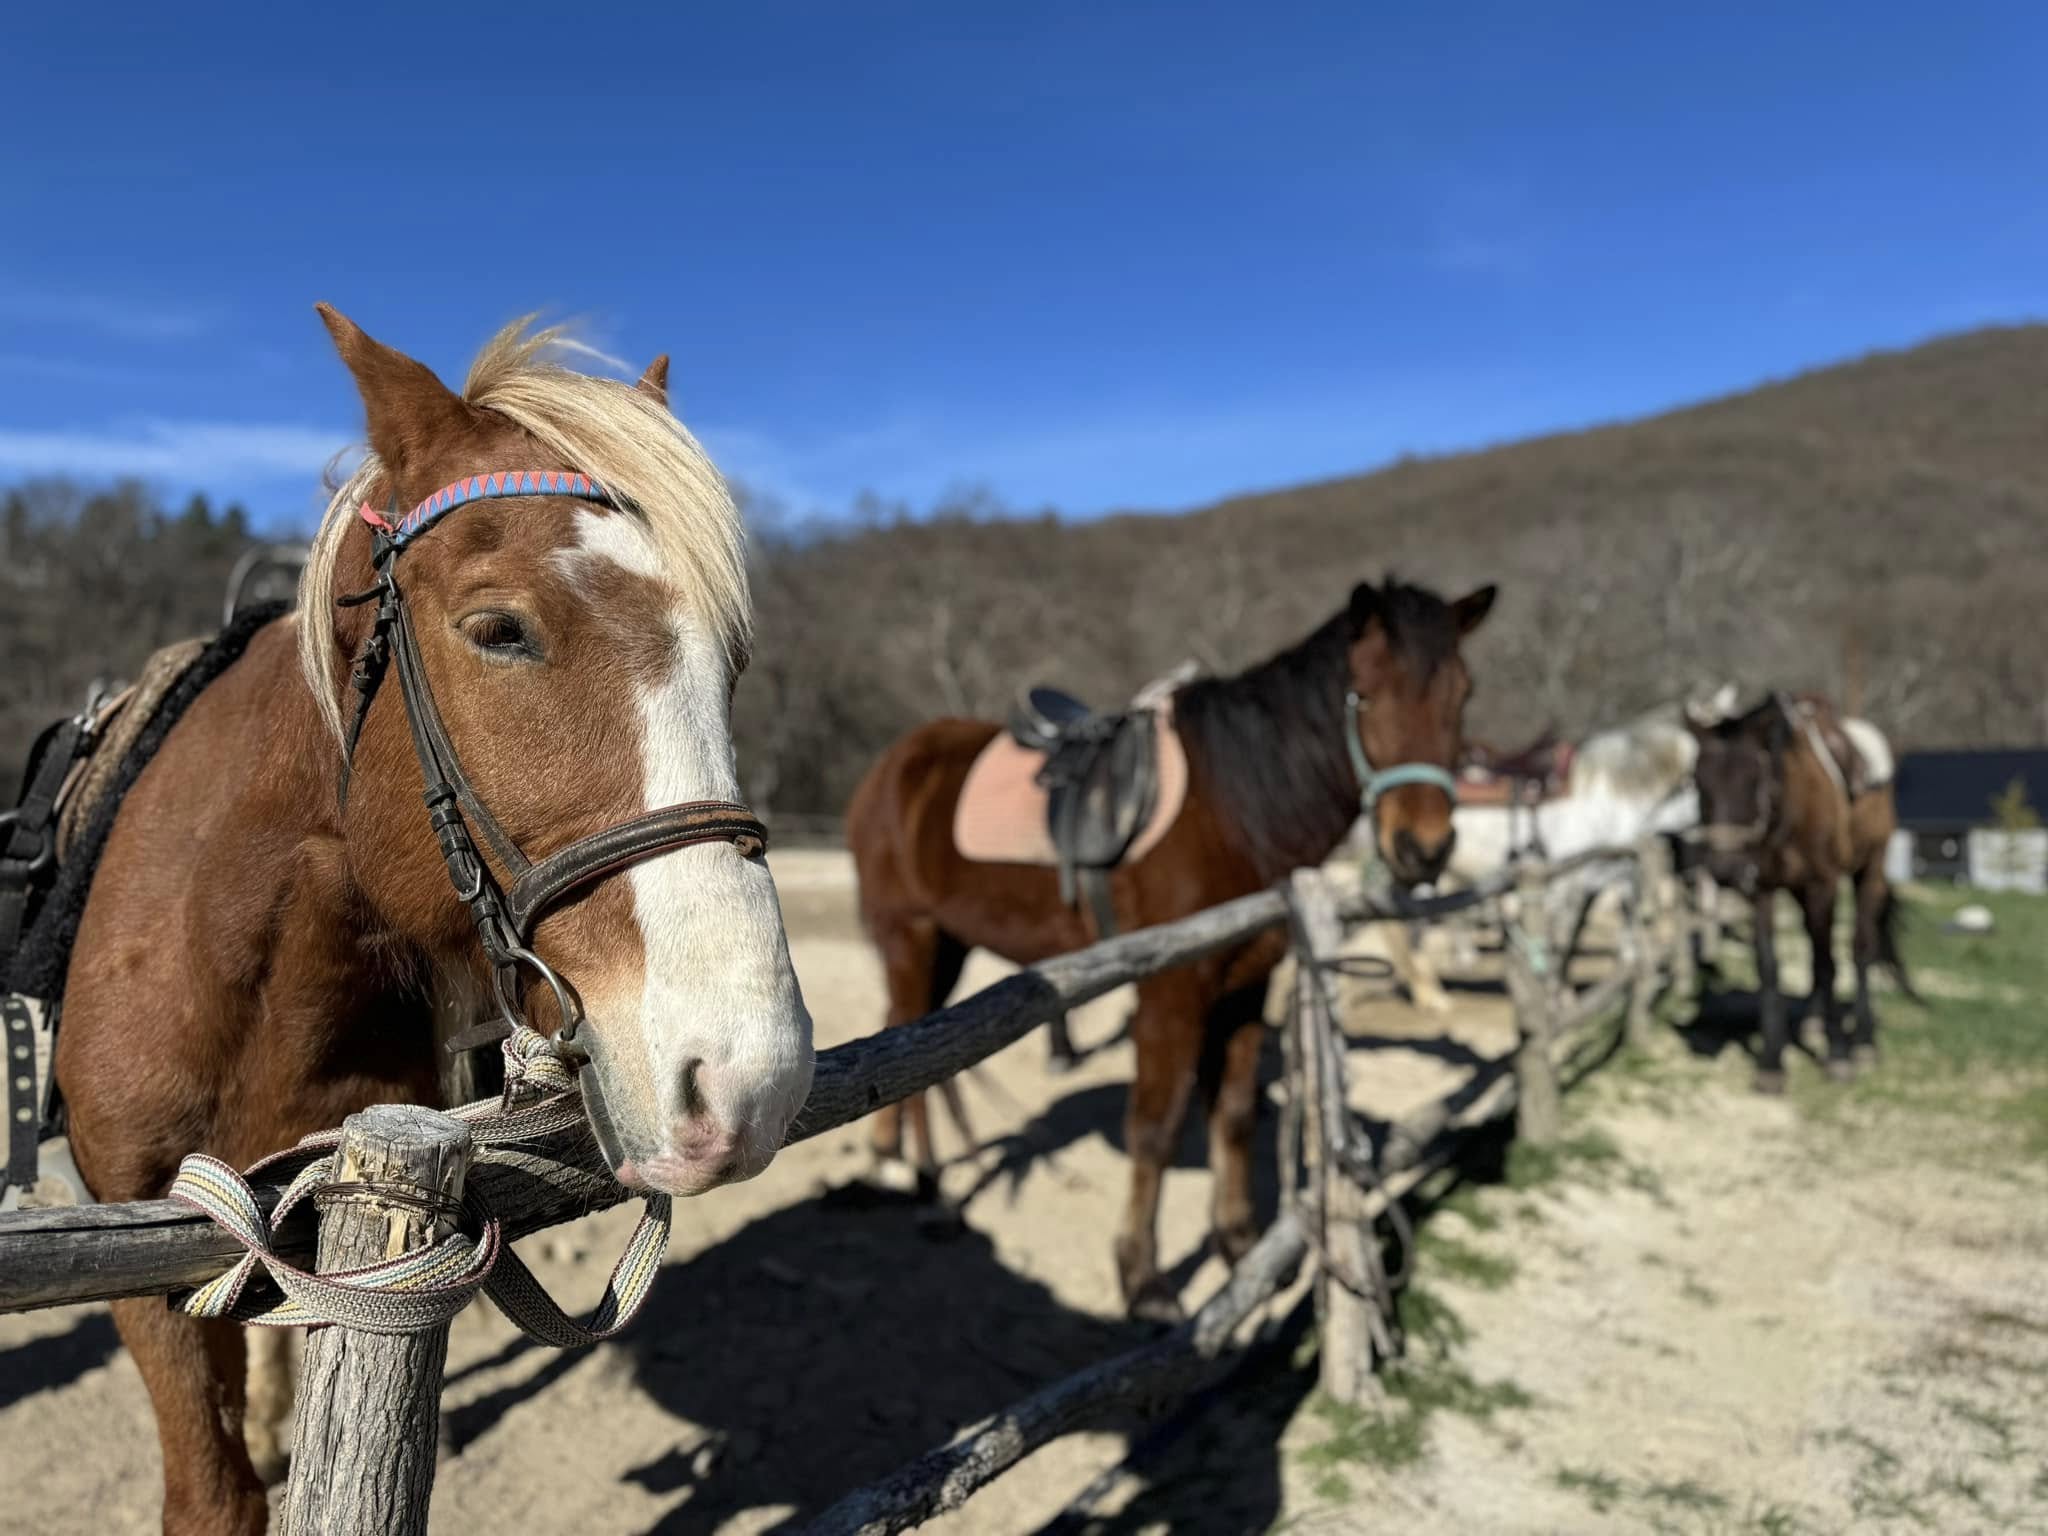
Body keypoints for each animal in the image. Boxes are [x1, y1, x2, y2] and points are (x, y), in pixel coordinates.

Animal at [846, 577, 1495, 1320]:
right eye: (1363, 692)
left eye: (1463, 693)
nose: (1424, 850)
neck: (1234, 806)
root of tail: (892, 766)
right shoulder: (1172, 990)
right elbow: (1154, 1130)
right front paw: (1144, 1279)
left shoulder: (1248, 982)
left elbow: (1234, 1116)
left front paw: (1241, 1246)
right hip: (911, 936)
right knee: (910, 1051)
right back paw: (928, 1190)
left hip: (948, 944)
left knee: (905, 1040)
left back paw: (889, 1162)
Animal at [1688, 691, 1912, 1092]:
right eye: (1697, 781)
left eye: (1754, 779)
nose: (1724, 871)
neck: (1787, 812)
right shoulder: (1762, 889)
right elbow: (1769, 967)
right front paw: (1771, 1061)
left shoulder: (1822, 885)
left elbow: (1827, 965)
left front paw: (1838, 1055)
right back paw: (1814, 1020)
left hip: (1870, 868)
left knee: (1861, 948)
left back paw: (1863, 1040)